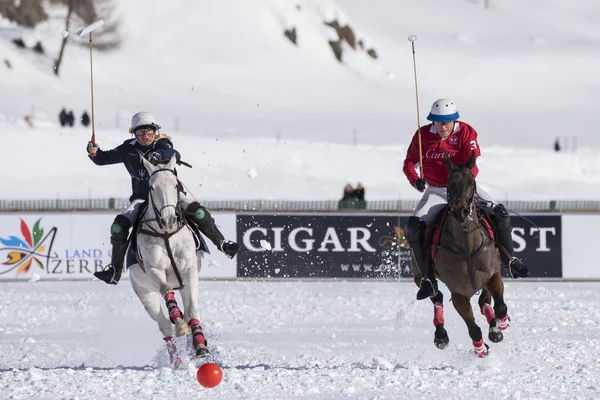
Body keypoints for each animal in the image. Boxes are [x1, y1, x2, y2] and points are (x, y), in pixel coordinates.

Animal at [127, 154, 210, 366]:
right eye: (152, 187)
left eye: (175, 185)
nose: (169, 220)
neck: (166, 234)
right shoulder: (154, 270)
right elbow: (166, 291)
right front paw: (179, 323)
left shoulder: (189, 271)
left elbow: (192, 311)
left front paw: (201, 348)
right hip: (144, 293)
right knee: (163, 325)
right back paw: (176, 361)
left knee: (186, 312)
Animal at [412, 152, 510, 358]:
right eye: (448, 183)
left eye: (471, 181)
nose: (461, 211)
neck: (467, 247)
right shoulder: (458, 292)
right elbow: (473, 327)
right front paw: (480, 348)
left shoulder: (493, 274)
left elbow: (499, 305)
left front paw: (500, 324)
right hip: (419, 275)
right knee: (435, 294)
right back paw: (441, 335)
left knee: (484, 300)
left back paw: (494, 326)